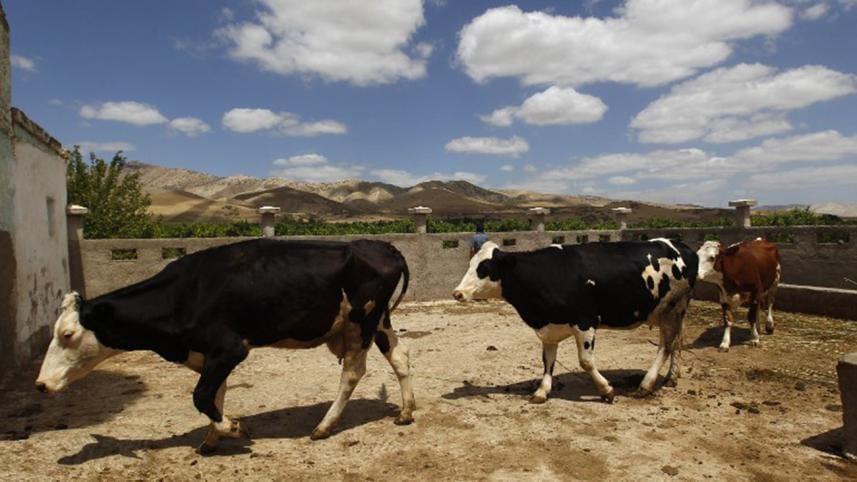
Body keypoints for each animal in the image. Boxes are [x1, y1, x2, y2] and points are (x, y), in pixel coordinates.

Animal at [35, 238, 415, 454]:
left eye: (67, 334)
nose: (40, 384)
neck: (183, 295)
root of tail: (385, 246)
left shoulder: (230, 348)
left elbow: (202, 396)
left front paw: (232, 428)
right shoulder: (208, 355)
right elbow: (215, 394)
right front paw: (210, 440)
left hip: (361, 322)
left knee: (353, 372)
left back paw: (324, 426)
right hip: (379, 322)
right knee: (400, 357)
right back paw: (406, 411)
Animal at [452, 239, 698, 403]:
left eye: (484, 268)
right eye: (470, 264)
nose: (457, 293)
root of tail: (682, 246)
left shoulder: (585, 321)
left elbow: (586, 361)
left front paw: (606, 390)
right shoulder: (548, 328)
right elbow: (548, 360)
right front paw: (542, 391)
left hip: (674, 307)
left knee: (666, 346)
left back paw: (646, 385)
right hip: (667, 311)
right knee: (676, 341)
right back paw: (671, 378)